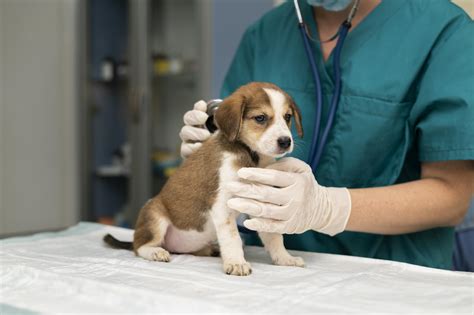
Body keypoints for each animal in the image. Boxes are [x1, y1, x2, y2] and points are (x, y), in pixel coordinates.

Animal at [103, 82, 304, 276]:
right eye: (260, 118)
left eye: (287, 117)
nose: (285, 141)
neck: (251, 155)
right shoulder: (221, 207)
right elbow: (233, 238)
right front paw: (237, 263)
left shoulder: (259, 204)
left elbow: (274, 237)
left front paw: (285, 258)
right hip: (154, 215)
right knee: (139, 246)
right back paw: (155, 252)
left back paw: (210, 249)